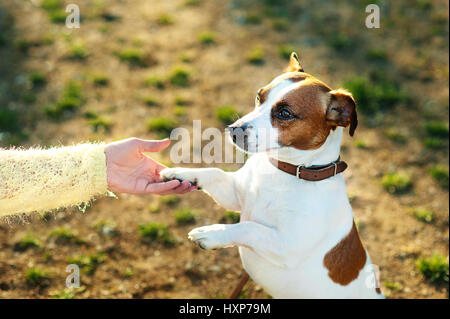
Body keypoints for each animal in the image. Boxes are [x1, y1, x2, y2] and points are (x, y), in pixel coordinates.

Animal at [161, 53, 384, 300]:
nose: (233, 129)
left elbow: (249, 227)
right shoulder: (234, 195)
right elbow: (213, 173)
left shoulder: (286, 246)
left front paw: (211, 233)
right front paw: (180, 173)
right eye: (259, 96)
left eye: (285, 113)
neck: (285, 170)